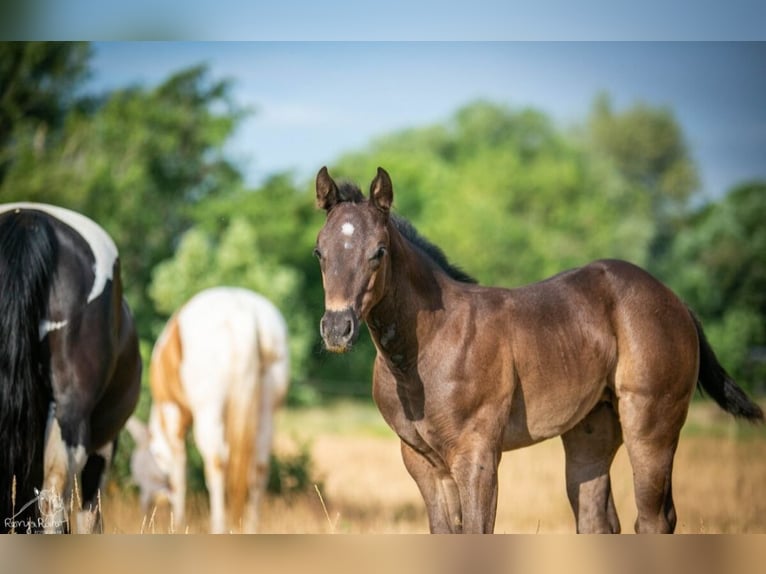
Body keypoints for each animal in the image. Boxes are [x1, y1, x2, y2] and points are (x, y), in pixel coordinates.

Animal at [127, 286, 290, 533]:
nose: (144, 507)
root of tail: (243, 314)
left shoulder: (173, 415)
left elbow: (178, 470)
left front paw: (179, 521)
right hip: (265, 410)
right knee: (259, 466)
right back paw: (251, 527)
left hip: (208, 412)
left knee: (216, 463)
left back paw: (218, 526)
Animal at [313, 166, 764, 534]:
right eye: (320, 251)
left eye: (379, 251)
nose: (337, 329)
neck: (426, 348)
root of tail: (676, 301)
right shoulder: (422, 462)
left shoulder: (477, 456)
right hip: (592, 430)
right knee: (597, 519)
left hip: (652, 423)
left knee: (655, 518)